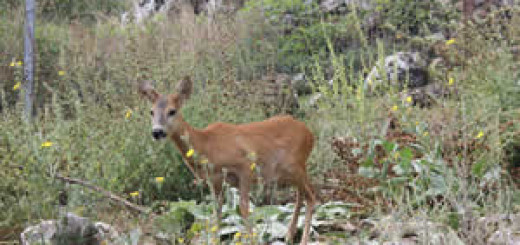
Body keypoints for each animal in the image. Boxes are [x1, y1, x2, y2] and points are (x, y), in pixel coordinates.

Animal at [139, 76, 316, 243]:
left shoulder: (245, 166)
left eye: (172, 111)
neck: (207, 145)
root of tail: (310, 134)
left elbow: (244, 209)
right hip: (287, 174)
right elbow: (217, 212)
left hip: (295, 166)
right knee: (301, 195)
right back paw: (289, 235)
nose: (157, 132)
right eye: (151, 111)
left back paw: (302, 239)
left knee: (311, 196)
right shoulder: (215, 181)